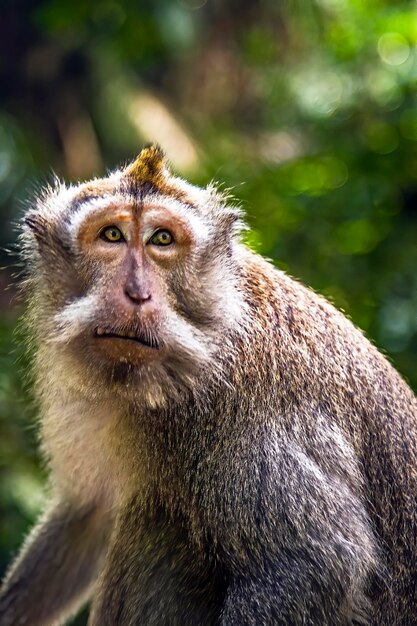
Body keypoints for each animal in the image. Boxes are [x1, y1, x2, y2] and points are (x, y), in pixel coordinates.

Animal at [0, 143, 416, 624]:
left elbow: (316, 565)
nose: (137, 293)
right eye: (112, 236)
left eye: (162, 240)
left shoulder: (247, 405)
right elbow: (88, 512)